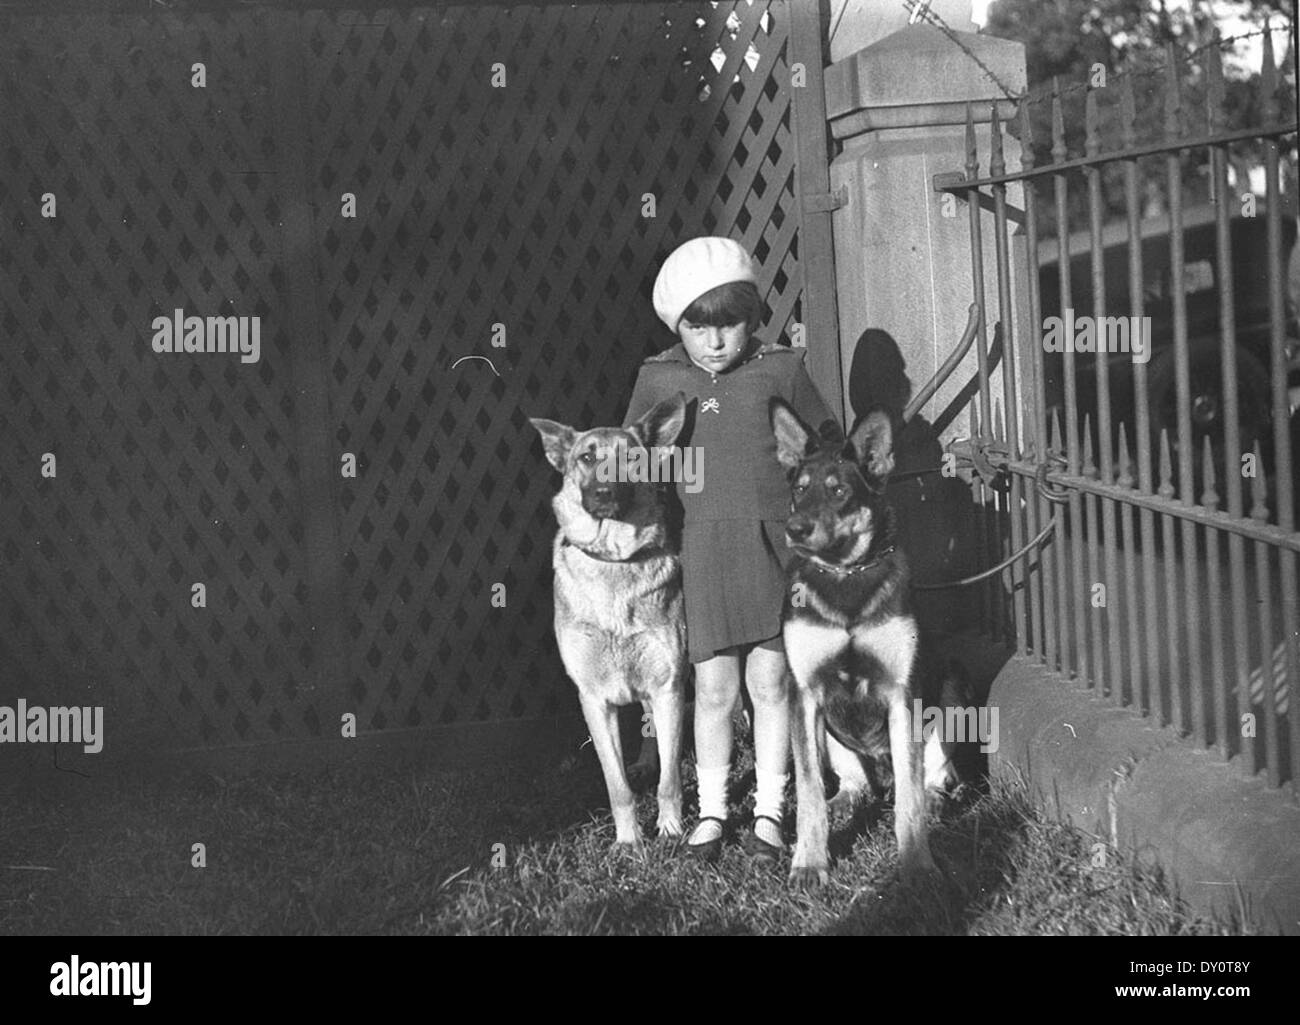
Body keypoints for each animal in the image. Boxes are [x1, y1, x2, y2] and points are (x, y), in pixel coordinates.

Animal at [527, 392, 691, 848]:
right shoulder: (594, 699)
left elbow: (670, 780)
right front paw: (630, 840)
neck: (614, 559)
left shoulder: (668, 685)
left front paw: (670, 829)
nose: (603, 493)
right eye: (586, 457)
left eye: (631, 458)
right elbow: (617, 786)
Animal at [764, 400, 961, 889]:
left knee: (932, 777)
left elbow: (909, 797)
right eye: (799, 489)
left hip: (951, 695)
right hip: (832, 735)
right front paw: (809, 862)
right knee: (852, 784)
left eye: (838, 491)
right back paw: (843, 802)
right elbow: (809, 791)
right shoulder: (805, 693)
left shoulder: (902, 692)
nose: (795, 528)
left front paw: (917, 864)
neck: (844, 576)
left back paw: (933, 800)